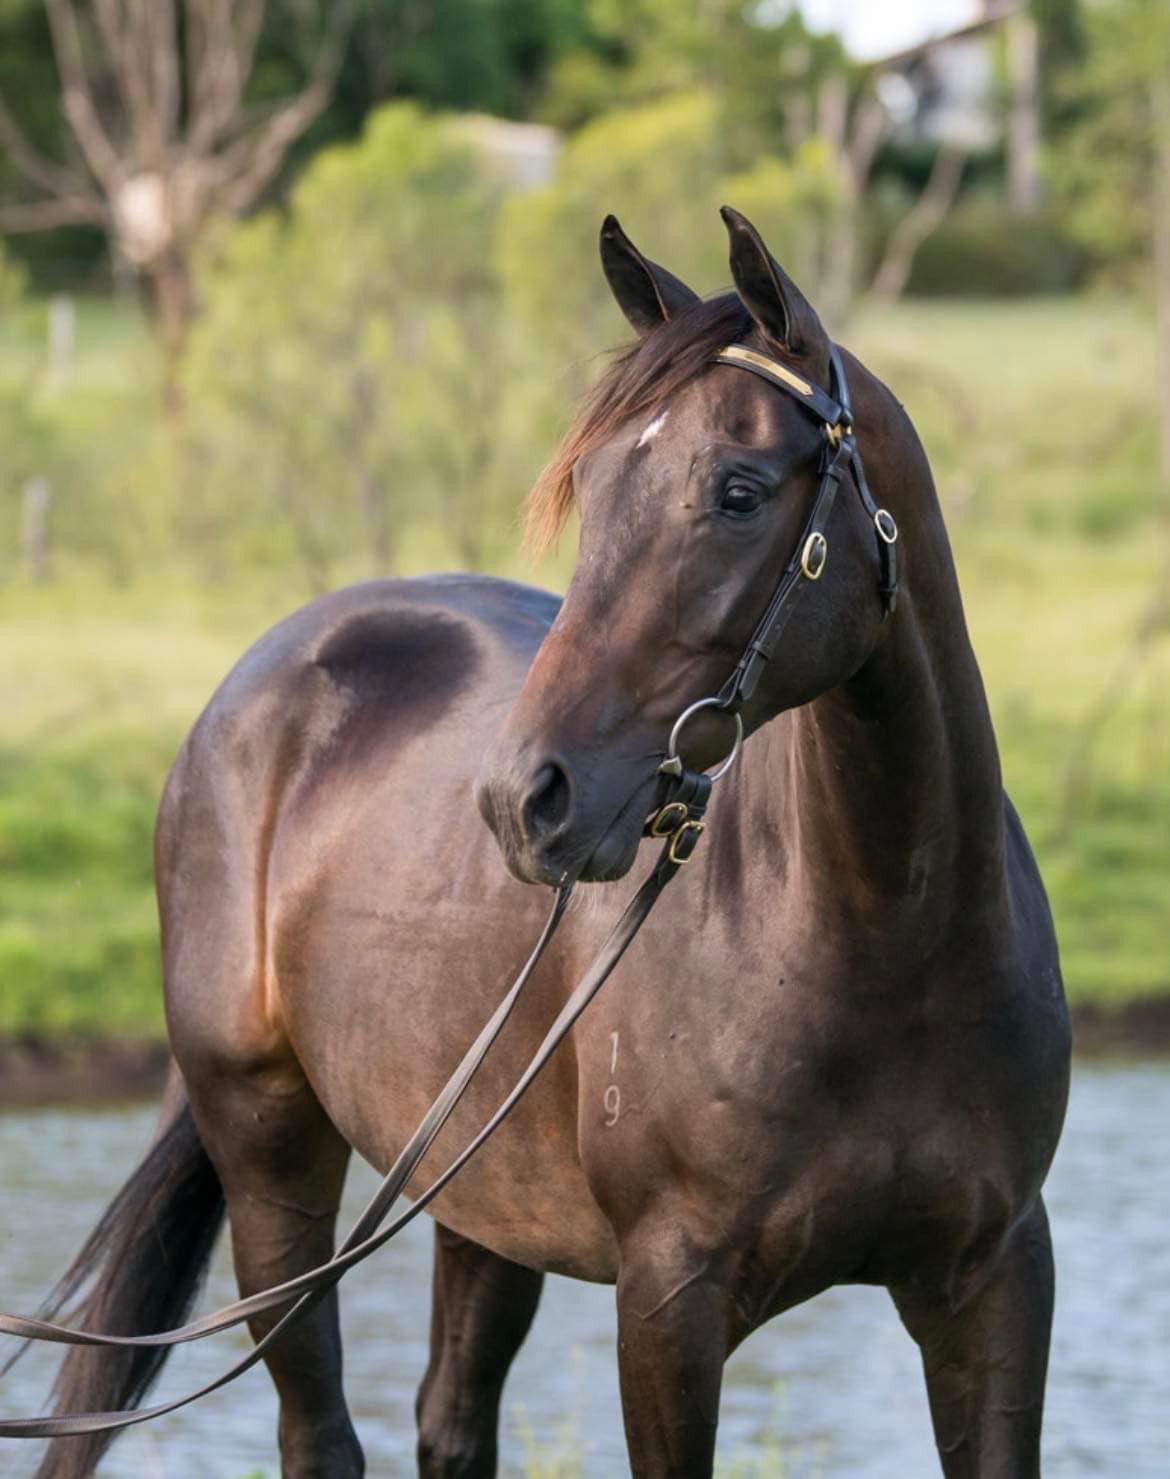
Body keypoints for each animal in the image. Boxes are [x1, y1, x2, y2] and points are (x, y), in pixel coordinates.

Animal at [28, 207, 1070, 1479]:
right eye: (598, 485)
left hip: (477, 1200)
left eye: (737, 491)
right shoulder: (670, 1303)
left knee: (450, 1419)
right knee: (319, 1429)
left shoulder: (996, 1284)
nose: (527, 800)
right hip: (273, 1170)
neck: (886, 939)